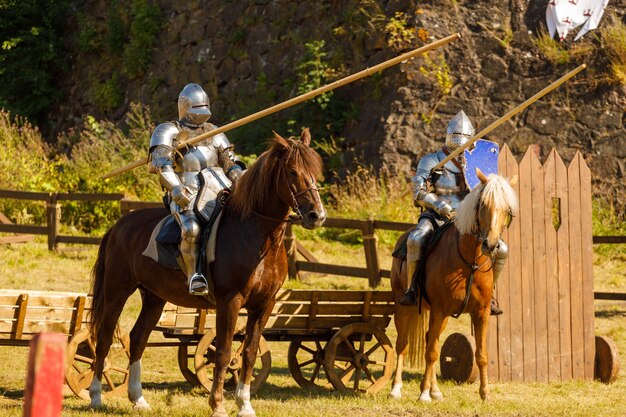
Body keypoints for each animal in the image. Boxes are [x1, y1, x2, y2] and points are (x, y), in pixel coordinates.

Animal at [89, 128, 326, 414]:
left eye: (316, 169)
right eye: (292, 172)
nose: (316, 215)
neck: (256, 233)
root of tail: (119, 226)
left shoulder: (264, 305)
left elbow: (250, 351)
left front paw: (245, 405)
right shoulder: (230, 302)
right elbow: (224, 352)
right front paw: (218, 405)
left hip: (154, 297)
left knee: (138, 338)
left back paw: (138, 398)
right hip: (117, 290)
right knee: (104, 336)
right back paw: (96, 396)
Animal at [388, 168, 516, 400]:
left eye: (506, 209)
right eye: (483, 204)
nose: (491, 245)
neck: (469, 260)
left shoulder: (481, 312)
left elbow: (481, 354)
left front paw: (485, 394)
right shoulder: (438, 310)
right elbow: (431, 352)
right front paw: (423, 394)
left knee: (432, 339)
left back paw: (435, 390)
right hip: (403, 306)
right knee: (403, 344)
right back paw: (396, 389)